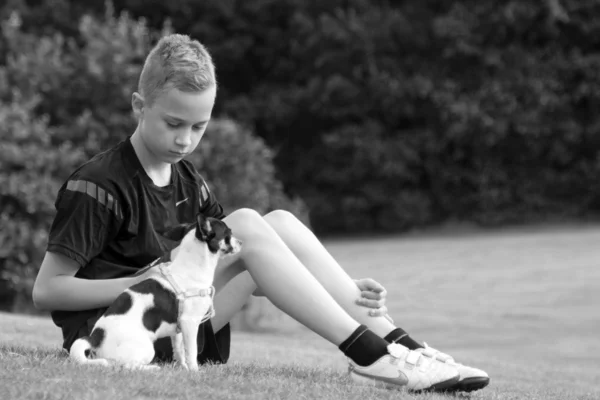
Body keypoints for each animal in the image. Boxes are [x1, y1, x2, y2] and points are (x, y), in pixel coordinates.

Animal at [68, 214, 241, 370]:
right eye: (228, 234)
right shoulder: (190, 323)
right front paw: (194, 371)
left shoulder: (178, 329)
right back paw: (151, 368)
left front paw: (183, 368)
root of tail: (95, 338)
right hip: (147, 348)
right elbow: (192, 351)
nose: (241, 242)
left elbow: (179, 351)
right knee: (126, 366)